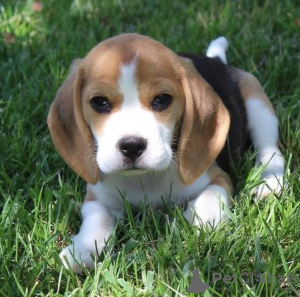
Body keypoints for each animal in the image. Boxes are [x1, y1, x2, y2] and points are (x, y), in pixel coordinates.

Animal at [47, 33, 284, 272]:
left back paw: (270, 181)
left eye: (162, 99)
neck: (146, 179)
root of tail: (216, 61)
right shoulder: (97, 196)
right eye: (99, 102)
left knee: (270, 150)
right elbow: (96, 219)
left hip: (258, 105)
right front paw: (81, 250)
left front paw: (199, 221)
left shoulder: (218, 177)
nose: (132, 145)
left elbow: (210, 197)